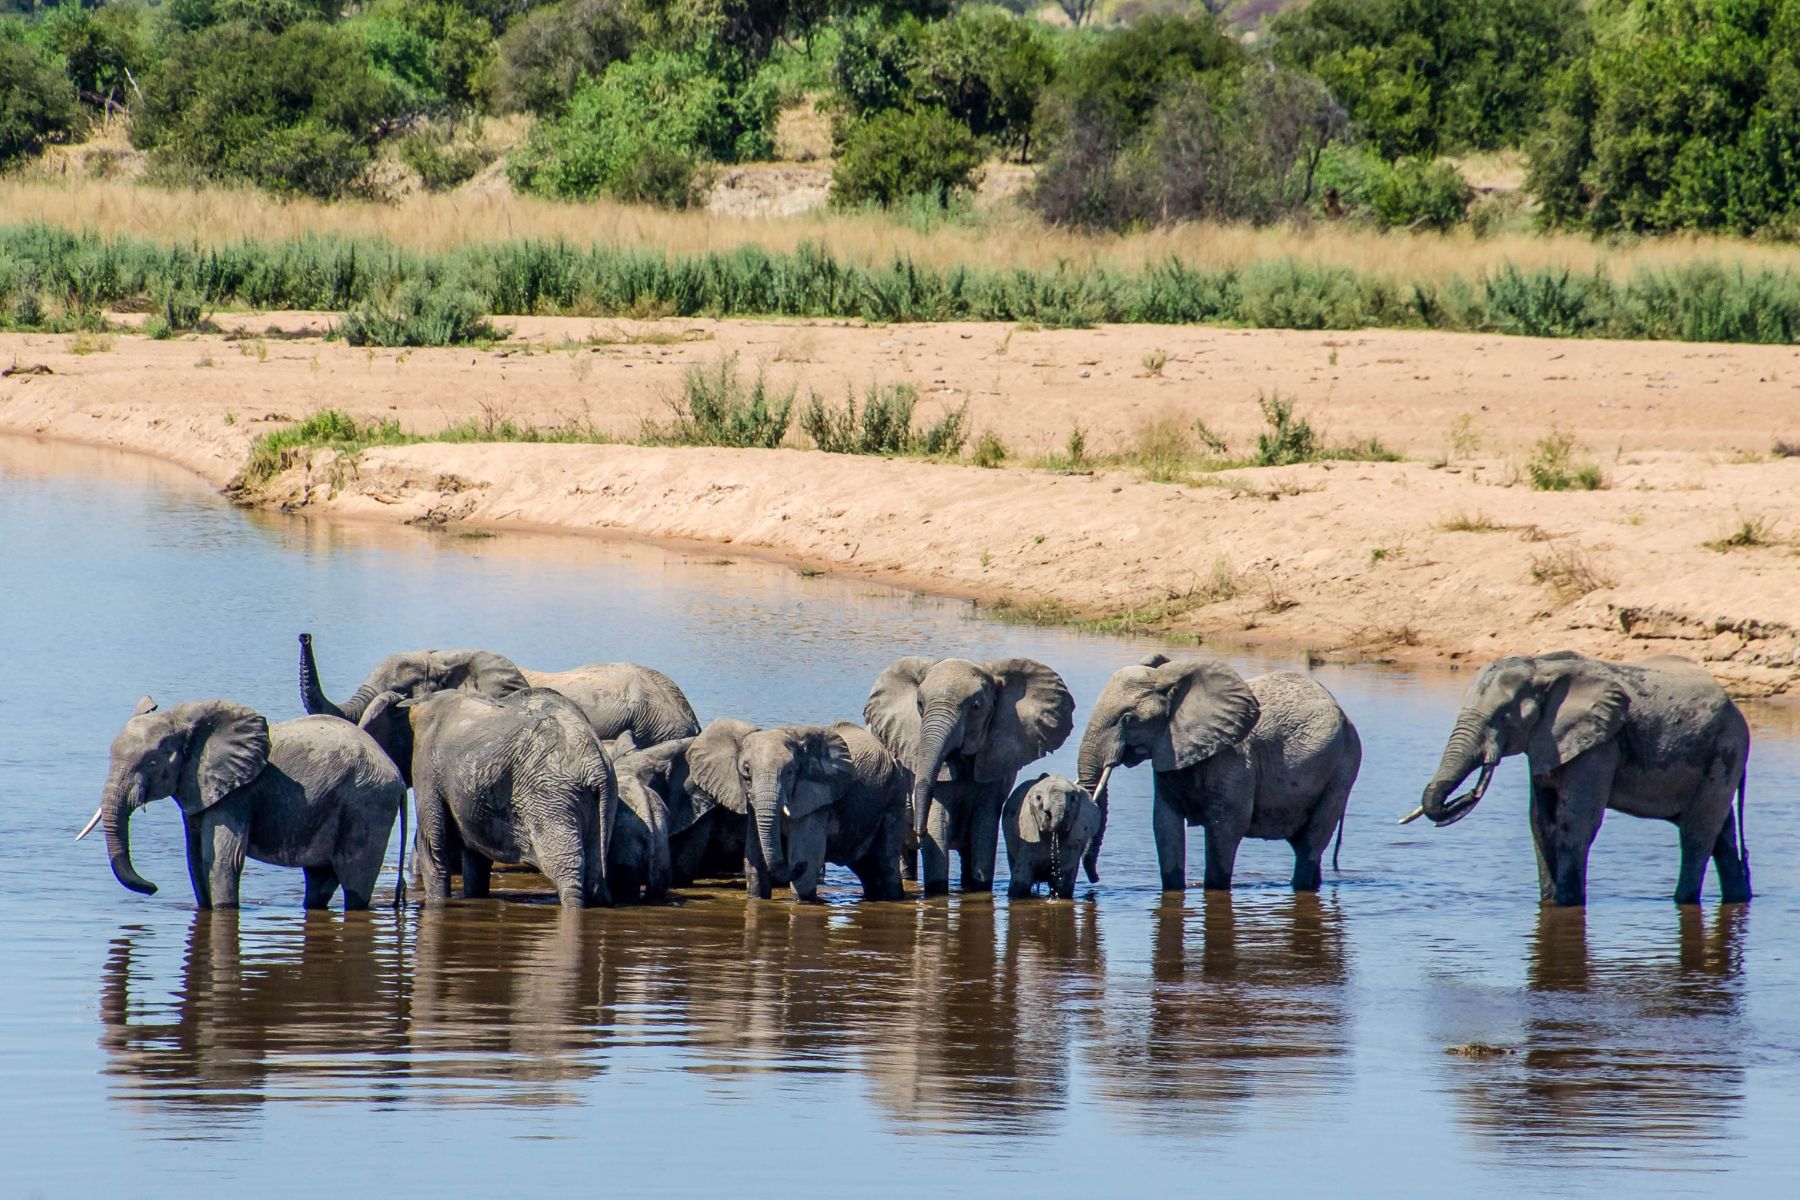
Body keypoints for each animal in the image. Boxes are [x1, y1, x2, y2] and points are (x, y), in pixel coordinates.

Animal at [81, 694, 405, 910]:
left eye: (150, 762)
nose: (153, 889)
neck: (184, 722)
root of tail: (399, 777)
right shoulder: (197, 789)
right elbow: (195, 859)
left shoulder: (236, 794)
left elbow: (221, 859)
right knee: (319, 880)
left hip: (367, 802)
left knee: (354, 879)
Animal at [867, 658, 1072, 892]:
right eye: (919, 704)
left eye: (976, 706)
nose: (920, 830)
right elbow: (938, 821)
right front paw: (937, 890)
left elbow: (985, 827)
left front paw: (980, 887)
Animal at [1072, 658, 1353, 892]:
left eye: (1128, 719)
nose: (1095, 880)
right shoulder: (1168, 752)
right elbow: (1165, 825)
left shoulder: (1236, 762)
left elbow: (1225, 830)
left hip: (1342, 770)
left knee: (1312, 842)